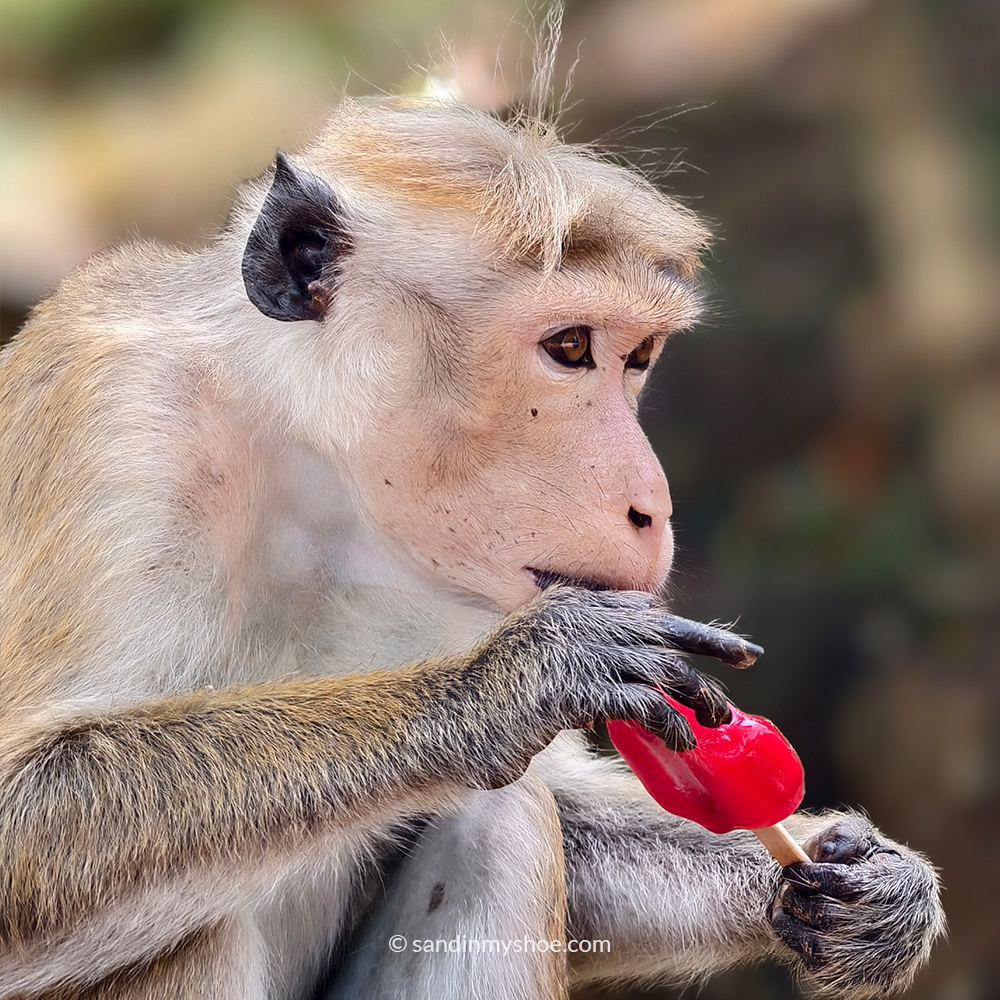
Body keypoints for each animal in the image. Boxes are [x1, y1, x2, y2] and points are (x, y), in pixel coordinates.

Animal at [0, 95, 943, 1000]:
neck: (309, 465)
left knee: (505, 816)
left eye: (638, 355)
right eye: (570, 347)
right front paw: (515, 681)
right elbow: (20, 812)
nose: (653, 506)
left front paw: (868, 884)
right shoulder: (122, 419)